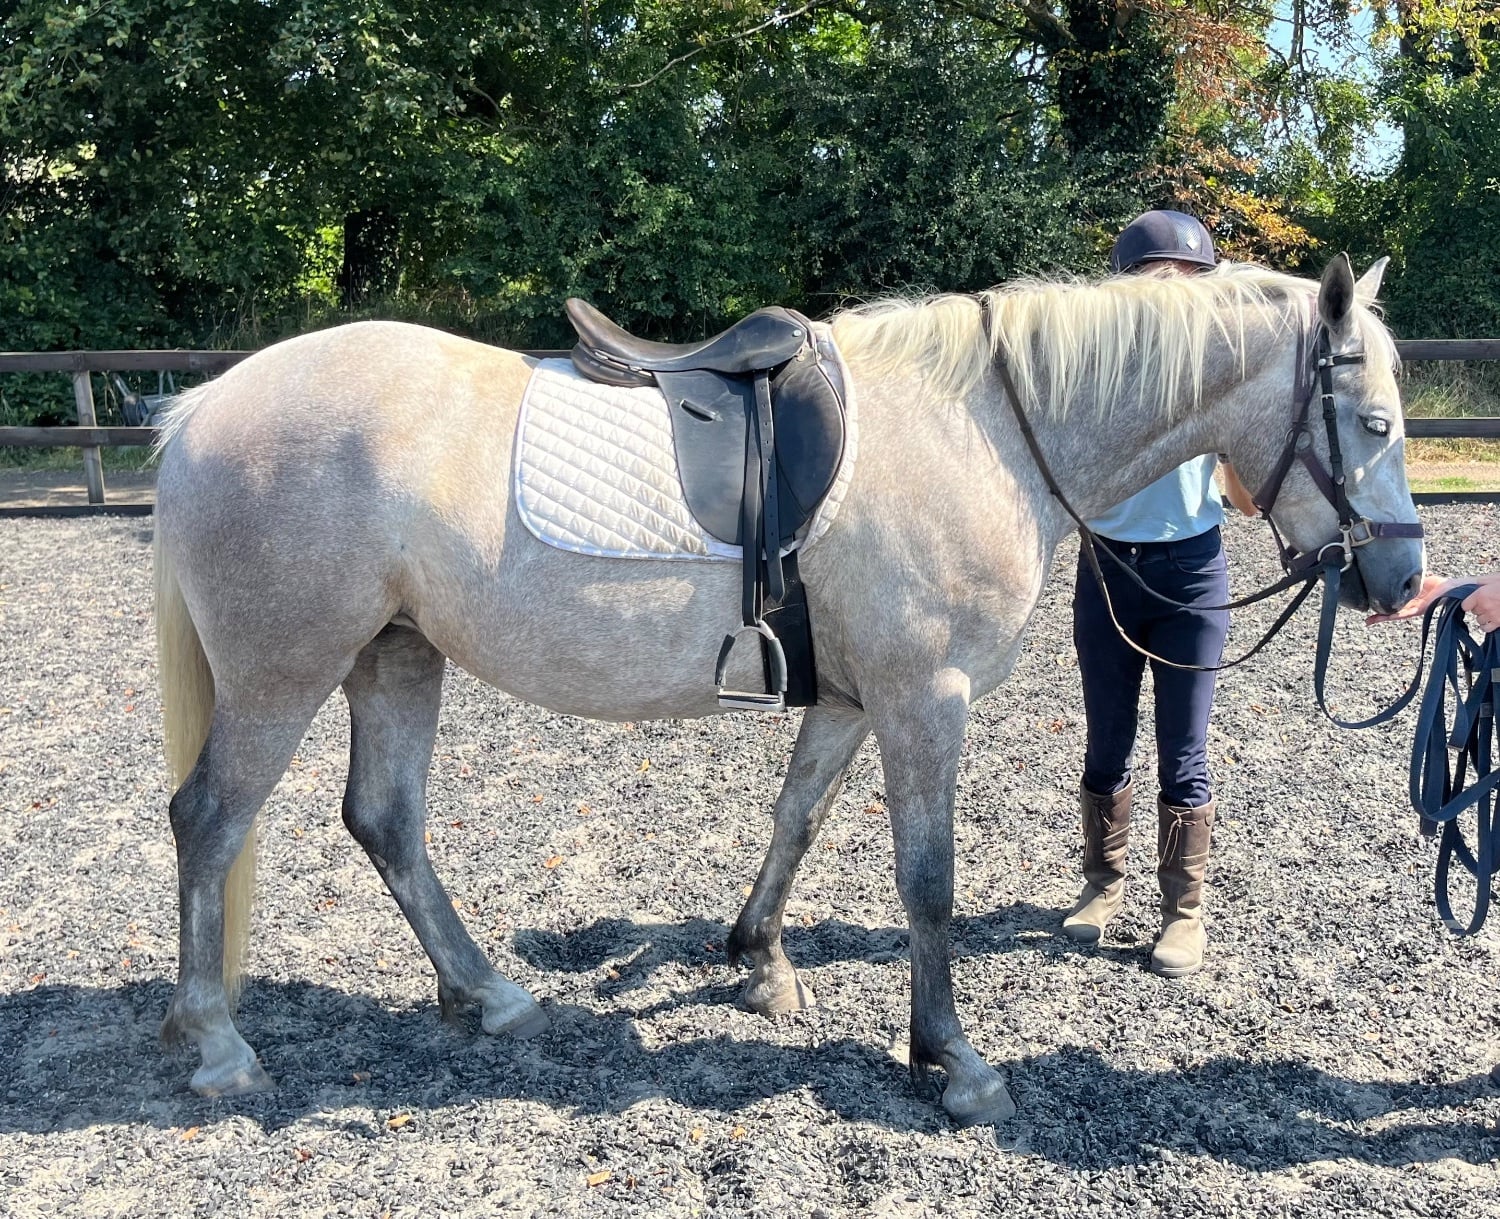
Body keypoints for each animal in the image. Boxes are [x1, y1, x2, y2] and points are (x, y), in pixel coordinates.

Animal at [151, 253, 1421, 1125]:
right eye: (1372, 420)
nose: (1402, 579)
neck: (986, 428)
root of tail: (200, 409)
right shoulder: (924, 700)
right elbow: (927, 884)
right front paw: (951, 1059)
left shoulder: (852, 700)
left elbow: (795, 820)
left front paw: (757, 961)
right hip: (286, 669)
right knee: (210, 819)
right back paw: (215, 1044)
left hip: (397, 654)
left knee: (386, 821)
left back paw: (489, 995)